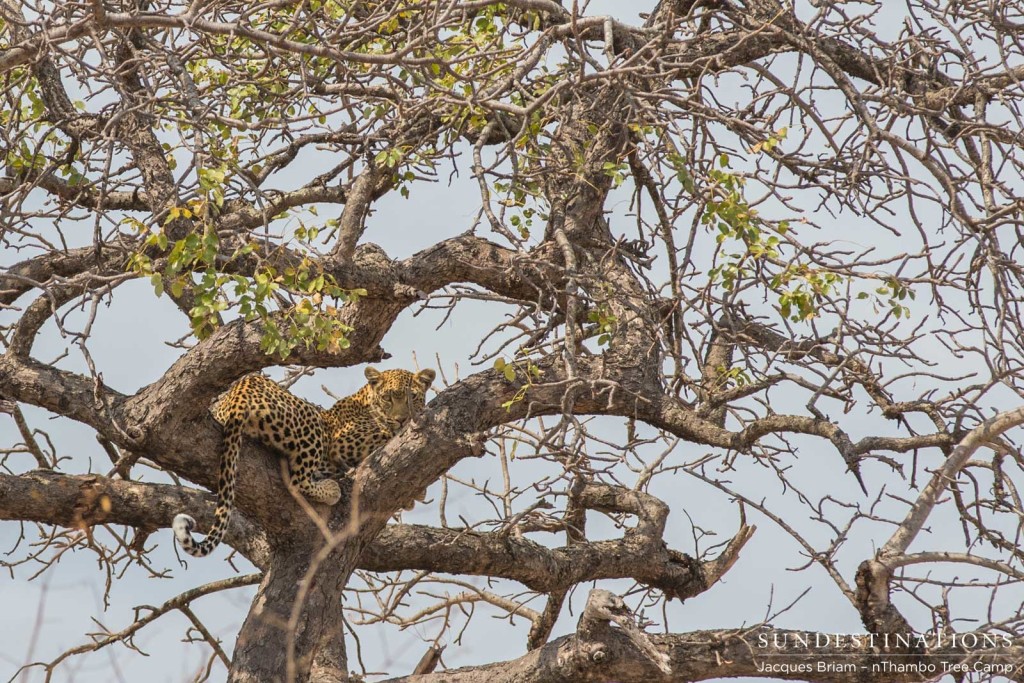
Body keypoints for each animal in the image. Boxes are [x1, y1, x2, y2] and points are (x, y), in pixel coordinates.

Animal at [173, 366, 436, 557]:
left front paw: (415, 495)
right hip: (311, 422)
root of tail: (240, 391)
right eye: (387, 398)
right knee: (297, 480)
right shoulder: (346, 440)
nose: (402, 419)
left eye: (413, 397)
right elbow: (384, 434)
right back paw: (331, 489)